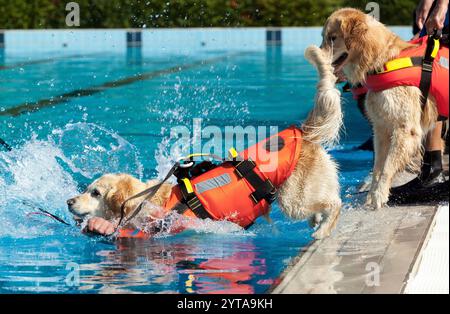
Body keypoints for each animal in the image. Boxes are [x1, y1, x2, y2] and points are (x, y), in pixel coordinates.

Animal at [66, 44, 342, 238]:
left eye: (95, 193)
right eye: (86, 189)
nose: (69, 201)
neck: (144, 201)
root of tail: (304, 131)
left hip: (293, 199)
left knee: (335, 203)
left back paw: (321, 231)